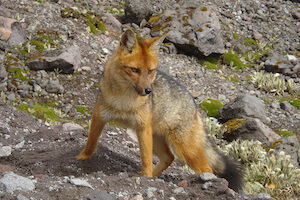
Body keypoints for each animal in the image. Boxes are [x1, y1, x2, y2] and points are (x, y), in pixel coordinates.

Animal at [75, 28, 244, 191]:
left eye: (150, 71)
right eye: (134, 70)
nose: (148, 90)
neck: (124, 102)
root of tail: (195, 107)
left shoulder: (143, 129)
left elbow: (146, 160)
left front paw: (146, 178)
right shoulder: (99, 117)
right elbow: (91, 144)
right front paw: (81, 158)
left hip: (184, 149)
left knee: (207, 168)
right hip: (157, 140)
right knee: (169, 158)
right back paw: (151, 176)